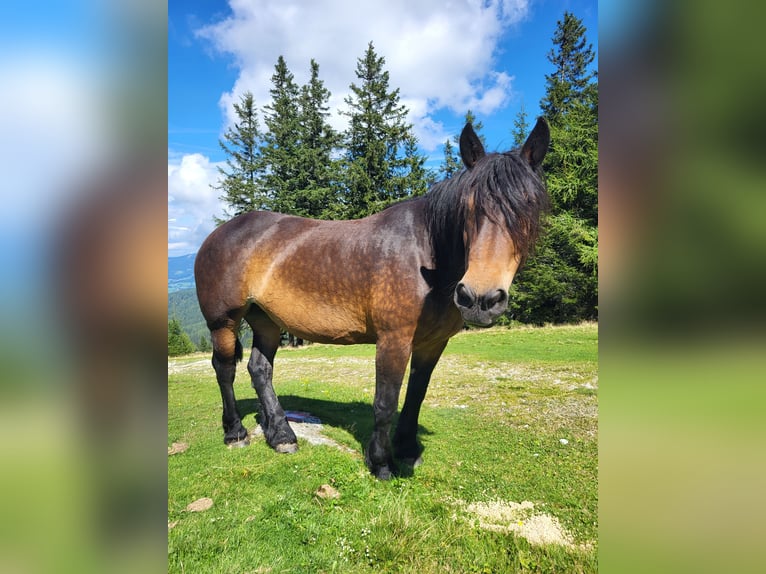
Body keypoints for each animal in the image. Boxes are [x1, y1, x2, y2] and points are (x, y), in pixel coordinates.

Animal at [195, 118, 548, 482]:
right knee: (224, 369)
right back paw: (235, 432)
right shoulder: (394, 339)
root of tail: (217, 234)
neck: (426, 256)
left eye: (530, 207)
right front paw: (380, 462)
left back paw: (280, 434)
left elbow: (416, 395)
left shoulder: (432, 343)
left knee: (260, 369)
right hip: (223, 322)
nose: (479, 298)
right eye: (468, 207)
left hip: (266, 320)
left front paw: (407, 449)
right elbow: (386, 401)